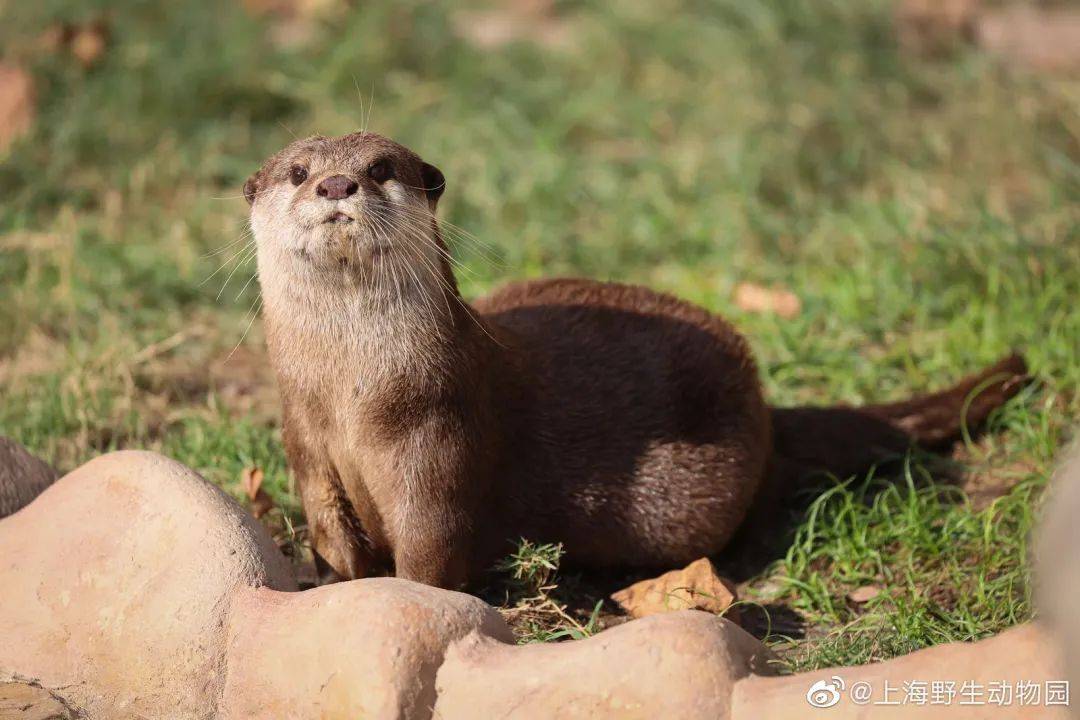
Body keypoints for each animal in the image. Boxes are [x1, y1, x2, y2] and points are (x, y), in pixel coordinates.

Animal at [245, 132, 1028, 587]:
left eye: (381, 168)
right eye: (297, 171)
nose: (337, 185)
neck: (355, 393)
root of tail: (764, 402)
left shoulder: (439, 431)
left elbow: (432, 543)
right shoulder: (303, 434)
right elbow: (327, 527)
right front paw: (338, 589)